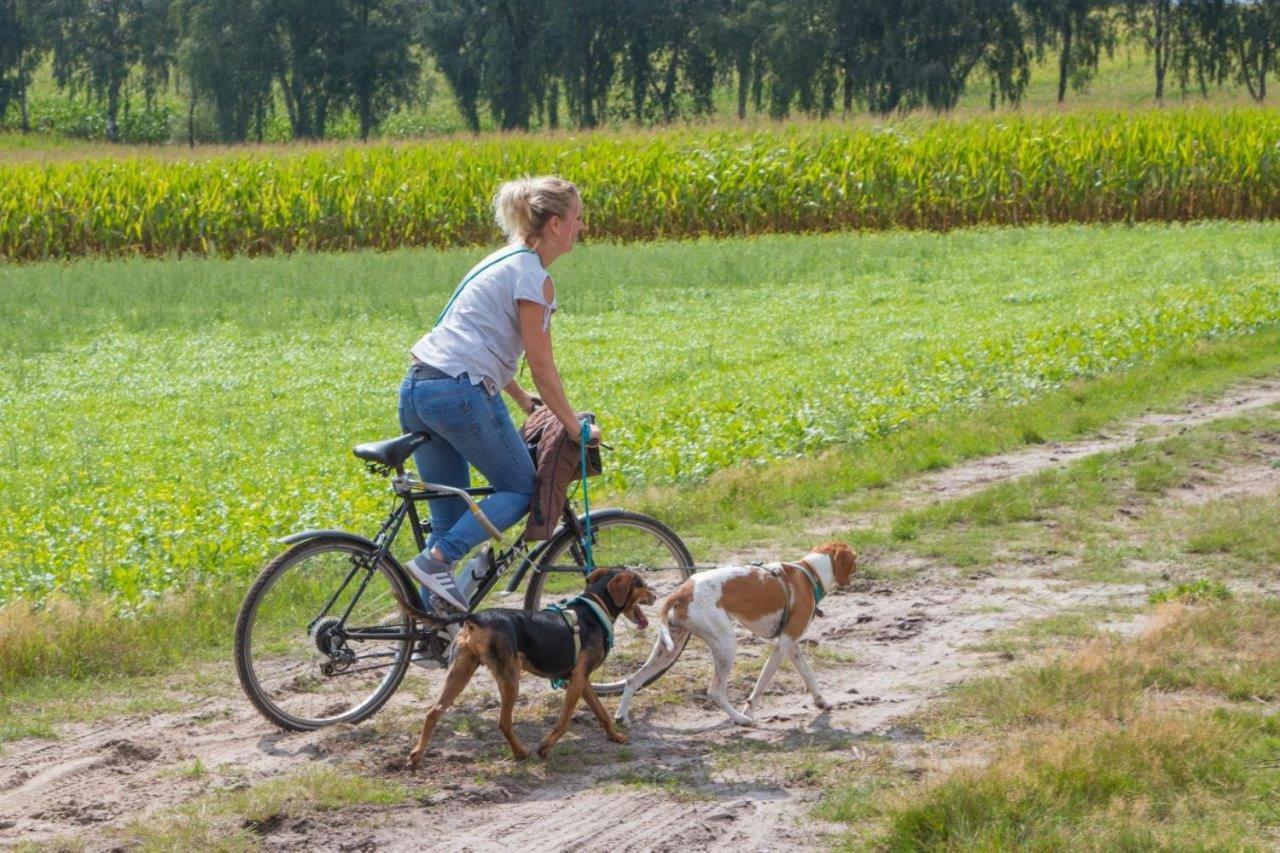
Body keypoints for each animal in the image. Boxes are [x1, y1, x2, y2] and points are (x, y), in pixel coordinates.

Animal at [404, 560, 655, 768]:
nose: (654, 595)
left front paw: (616, 737)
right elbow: (564, 721)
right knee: (504, 723)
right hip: (510, 679)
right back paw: (520, 753)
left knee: (433, 712)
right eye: (642, 584)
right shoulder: (576, 680)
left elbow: (601, 712)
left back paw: (416, 756)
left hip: (461, 672)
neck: (596, 607)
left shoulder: (580, 679)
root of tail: (477, 617)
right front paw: (544, 747)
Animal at [614, 540, 855, 722]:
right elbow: (760, 686)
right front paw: (749, 710)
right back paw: (742, 720)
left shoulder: (791, 645)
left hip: (667, 651)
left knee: (633, 679)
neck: (809, 572)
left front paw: (821, 701)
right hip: (726, 644)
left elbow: (808, 675)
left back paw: (622, 716)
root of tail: (682, 591)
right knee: (715, 691)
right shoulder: (782, 646)